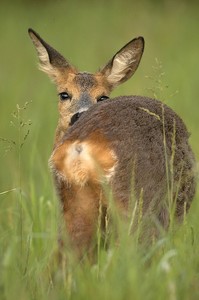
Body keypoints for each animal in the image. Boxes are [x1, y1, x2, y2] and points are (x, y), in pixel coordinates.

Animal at [28, 28, 197, 258]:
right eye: (64, 94)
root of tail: (81, 145)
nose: (79, 115)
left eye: (103, 96)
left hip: (73, 206)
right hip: (136, 204)